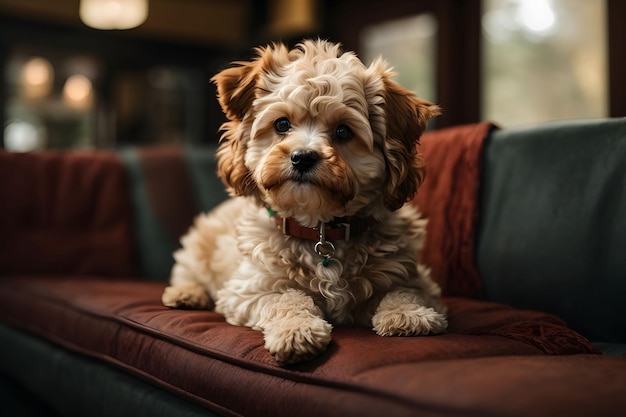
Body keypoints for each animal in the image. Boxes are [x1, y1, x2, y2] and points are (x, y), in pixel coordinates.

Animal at [161, 39, 444, 364]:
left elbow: (403, 289)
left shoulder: (417, 277)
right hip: (197, 245)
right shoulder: (248, 289)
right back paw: (185, 294)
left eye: (343, 131)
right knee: (187, 271)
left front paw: (408, 313)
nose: (303, 157)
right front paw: (296, 331)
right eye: (282, 124)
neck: (320, 230)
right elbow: (288, 299)